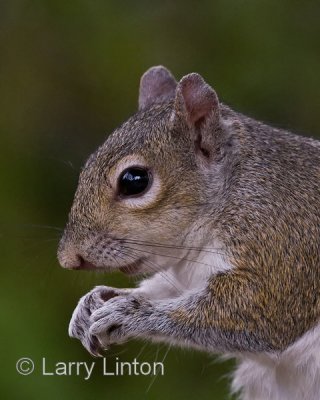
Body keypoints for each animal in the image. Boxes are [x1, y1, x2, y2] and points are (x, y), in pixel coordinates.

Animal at [57, 66, 320, 400]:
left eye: (134, 180)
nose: (67, 258)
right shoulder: (185, 274)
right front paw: (96, 300)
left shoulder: (281, 250)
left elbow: (250, 314)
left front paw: (131, 314)